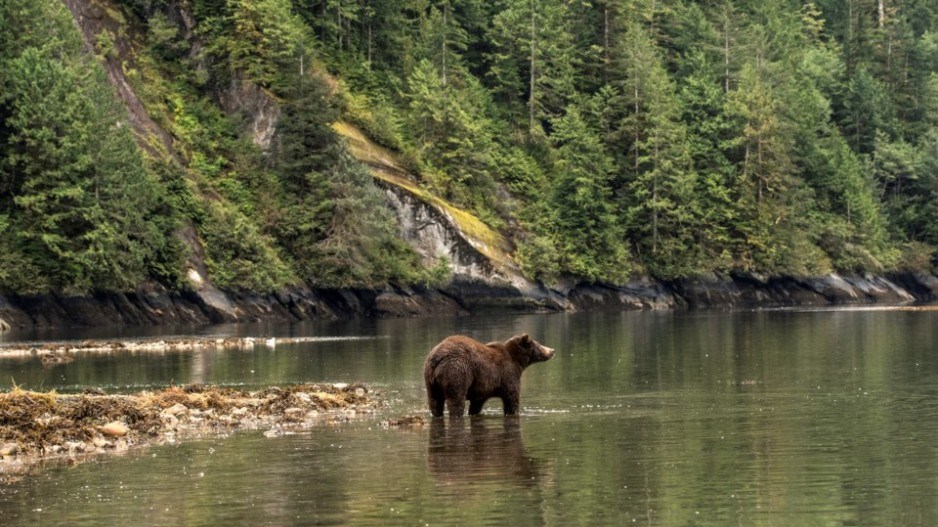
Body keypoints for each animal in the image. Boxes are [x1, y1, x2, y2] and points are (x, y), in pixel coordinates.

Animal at [420, 334, 552, 416]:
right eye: (539, 345)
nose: (552, 350)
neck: (518, 361)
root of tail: (437, 356)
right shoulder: (507, 375)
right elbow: (511, 397)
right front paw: (513, 411)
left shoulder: (483, 386)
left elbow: (477, 403)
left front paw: (473, 411)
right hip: (457, 370)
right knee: (456, 399)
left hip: (429, 379)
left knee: (434, 401)